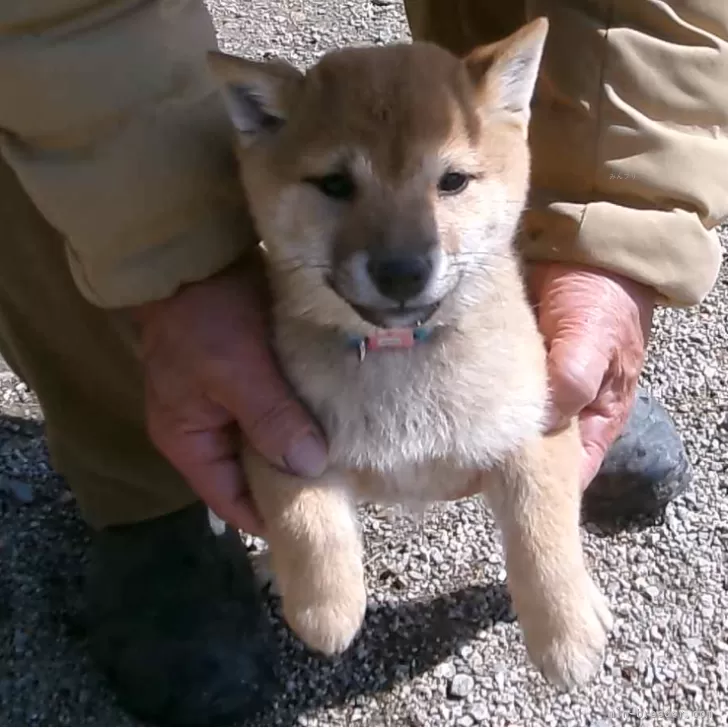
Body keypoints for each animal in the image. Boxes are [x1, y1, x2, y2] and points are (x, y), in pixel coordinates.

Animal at [208, 15, 612, 688]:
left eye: (452, 181)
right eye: (335, 184)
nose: (401, 271)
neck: (402, 359)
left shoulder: (537, 426)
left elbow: (543, 531)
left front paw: (567, 633)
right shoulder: (276, 434)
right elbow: (306, 521)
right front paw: (325, 607)